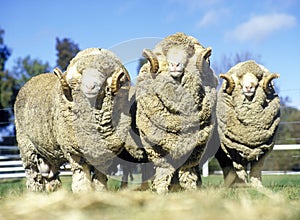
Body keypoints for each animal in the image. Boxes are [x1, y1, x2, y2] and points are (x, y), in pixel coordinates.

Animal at [14, 48, 131, 192]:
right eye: (82, 73)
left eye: (103, 73)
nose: (91, 86)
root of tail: (33, 78)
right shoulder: (73, 151)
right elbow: (81, 174)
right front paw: (83, 191)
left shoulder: (105, 154)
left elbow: (100, 176)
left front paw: (101, 191)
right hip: (26, 147)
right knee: (32, 174)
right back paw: (34, 193)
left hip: (47, 156)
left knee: (50, 176)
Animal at [134, 32, 218, 192]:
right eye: (164, 54)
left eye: (189, 53)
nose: (174, 65)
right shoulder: (155, 146)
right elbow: (163, 169)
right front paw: (161, 190)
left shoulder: (196, 146)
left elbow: (188, 171)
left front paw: (191, 189)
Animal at [214, 59, 280, 187]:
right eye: (240, 79)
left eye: (258, 79)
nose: (248, 87)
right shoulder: (234, 149)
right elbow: (239, 169)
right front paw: (242, 185)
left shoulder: (264, 148)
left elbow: (257, 168)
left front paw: (258, 186)